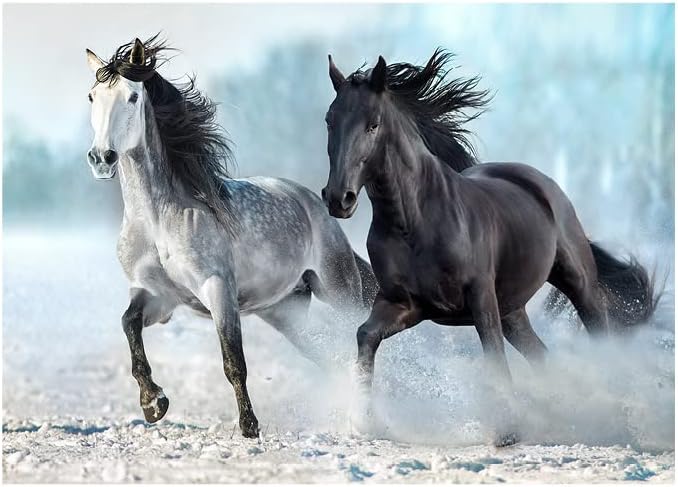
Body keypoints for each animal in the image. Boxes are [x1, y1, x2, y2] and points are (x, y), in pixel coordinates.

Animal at [85, 36, 377, 438]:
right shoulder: (157, 296)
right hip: (284, 312)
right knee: (328, 354)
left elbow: (233, 360)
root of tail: (313, 203)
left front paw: (249, 426)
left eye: (131, 97)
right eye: (92, 96)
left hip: (339, 290)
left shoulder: (217, 289)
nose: (102, 158)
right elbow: (129, 325)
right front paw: (153, 403)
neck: (158, 220)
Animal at [322, 49, 658, 444]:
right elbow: (365, 335)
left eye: (373, 125)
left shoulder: (480, 298)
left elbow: (493, 356)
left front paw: (507, 430)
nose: (338, 199)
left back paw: (618, 418)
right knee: (542, 356)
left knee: (599, 333)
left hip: (577, 282)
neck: (414, 223)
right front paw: (364, 421)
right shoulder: (403, 304)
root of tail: (541, 183)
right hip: (513, 310)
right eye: (329, 120)